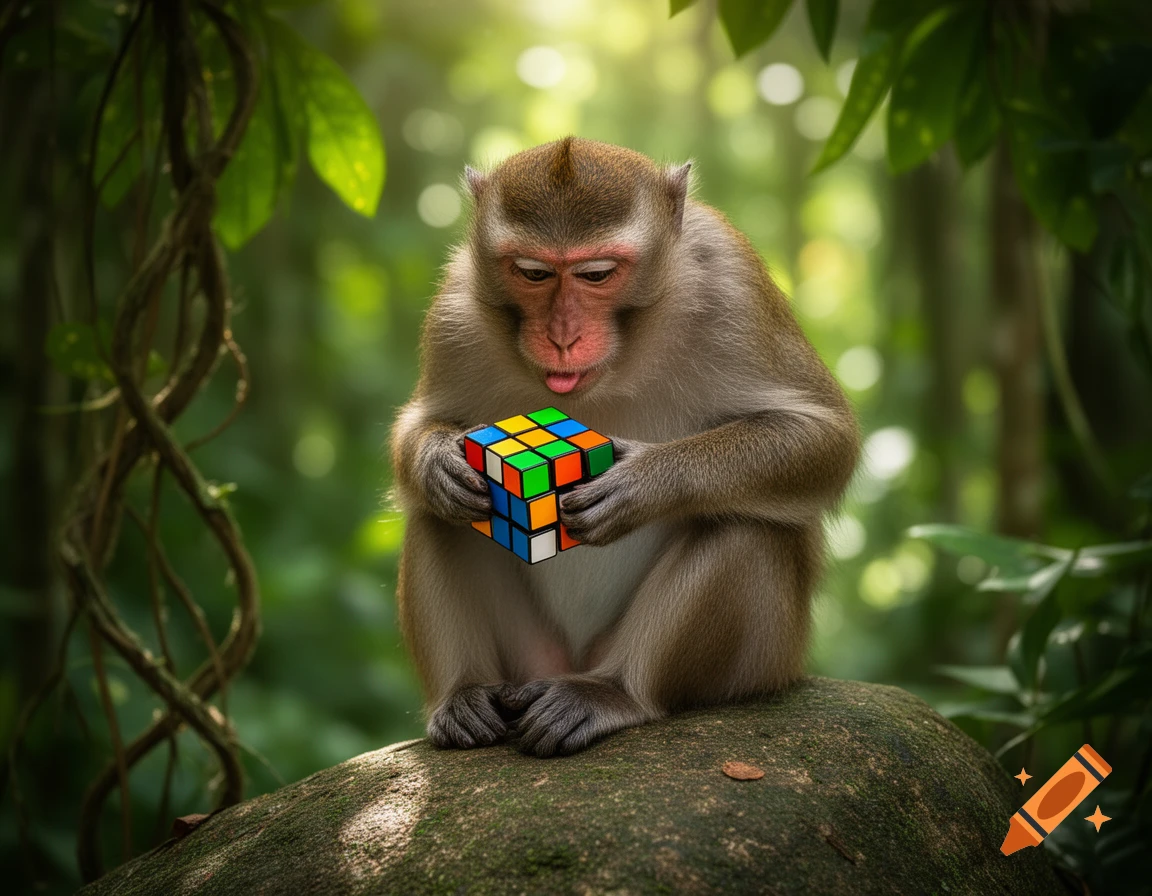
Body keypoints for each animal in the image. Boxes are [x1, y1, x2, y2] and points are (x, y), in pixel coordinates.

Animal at [389, 137, 859, 758]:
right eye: (533, 272)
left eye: (597, 273)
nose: (562, 336)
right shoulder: (455, 309)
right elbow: (419, 425)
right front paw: (438, 460)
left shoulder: (732, 284)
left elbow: (825, 439)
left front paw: (645, 481)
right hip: (530, 656)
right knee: (439, 517)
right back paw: (465, 694)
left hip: (759, 664)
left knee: (745, 526)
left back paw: (614, 692)